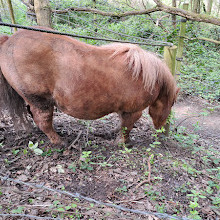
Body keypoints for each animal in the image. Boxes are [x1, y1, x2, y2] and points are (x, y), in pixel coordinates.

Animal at [0, 28, 179, 146]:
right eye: (172, 103)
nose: (161, 129)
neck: (146, 75)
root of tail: (9, 40)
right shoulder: (132, 111)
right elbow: (126, 127)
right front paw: (122, 142)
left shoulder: (123, 109)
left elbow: (121, 123)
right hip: (40, 100)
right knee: (43, 121)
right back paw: (59, 142)